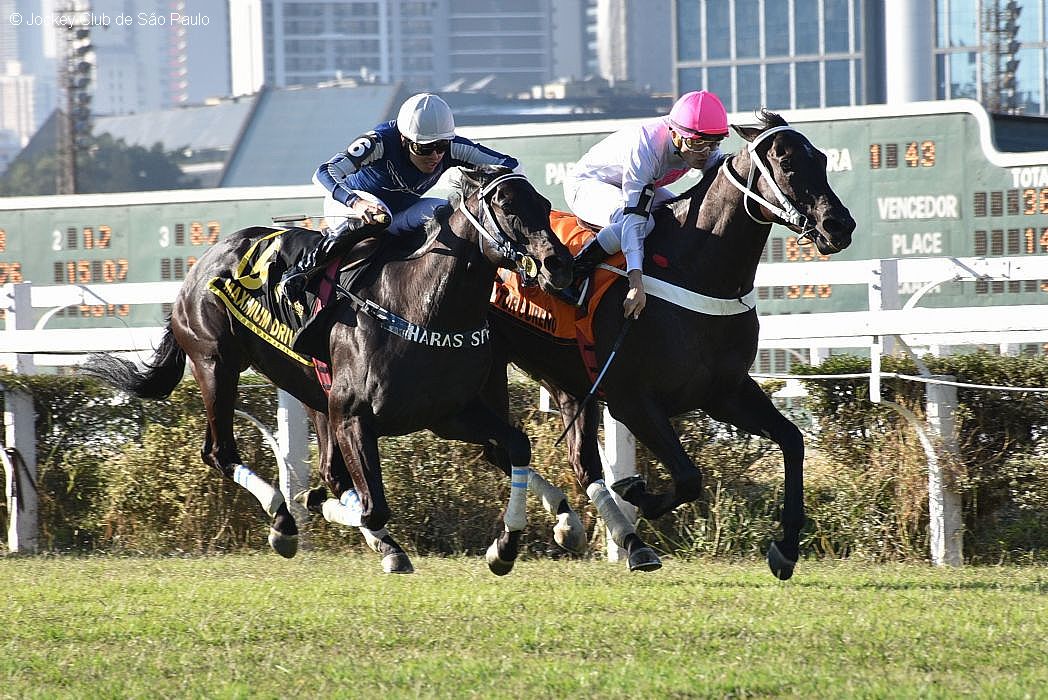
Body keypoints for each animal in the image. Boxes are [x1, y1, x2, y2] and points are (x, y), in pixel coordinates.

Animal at [83, 165, 582, 574]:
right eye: (506, 206)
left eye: (543, 204)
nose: (559, 265)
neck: (422, 308)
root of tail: (198, 266)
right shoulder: (355, 415)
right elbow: (371, 507)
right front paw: (351, 526)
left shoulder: (448, 415)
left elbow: (516, 445)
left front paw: (511, 543)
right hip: (215, 363)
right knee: (221, 451)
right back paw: (283, 519)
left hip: (310, 391)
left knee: (328, 469)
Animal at [486, 110, 855, 578]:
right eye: (788, 163)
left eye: (822, 159)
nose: (839, 226)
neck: (694, 271)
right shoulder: (632, 401)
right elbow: (688, 477)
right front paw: (636, 490)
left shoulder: (725, 393)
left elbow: (792, 439)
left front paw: (786, 548)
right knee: (506, 446)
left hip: (564, 380)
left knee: (561, 459)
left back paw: (586, 529)